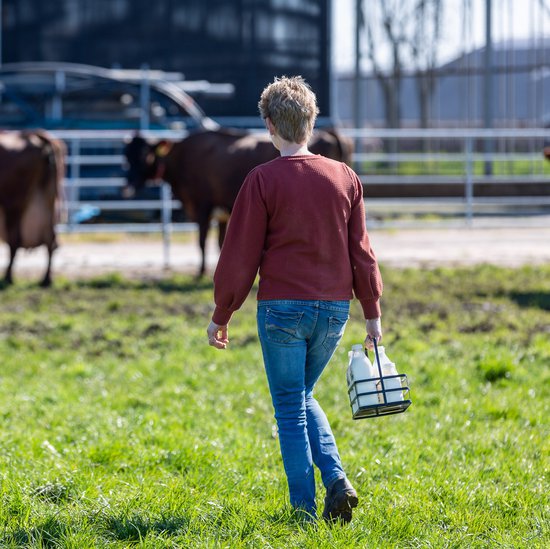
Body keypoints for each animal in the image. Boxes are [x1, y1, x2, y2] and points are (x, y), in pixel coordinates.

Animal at [0, 130, 65, 287]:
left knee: (15, 239)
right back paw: (46, 279)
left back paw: (8, 277)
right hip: (47, 197)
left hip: (14, 202)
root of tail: (35, 135)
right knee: (50, 238)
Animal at [124, 128, 353, 276]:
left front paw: (201, 272)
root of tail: (329, 132)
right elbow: (220, 243)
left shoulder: (202, 205)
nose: (127, 187)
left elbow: (202, 240)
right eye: (127, 157)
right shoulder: (223, 213)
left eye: (145, 156)